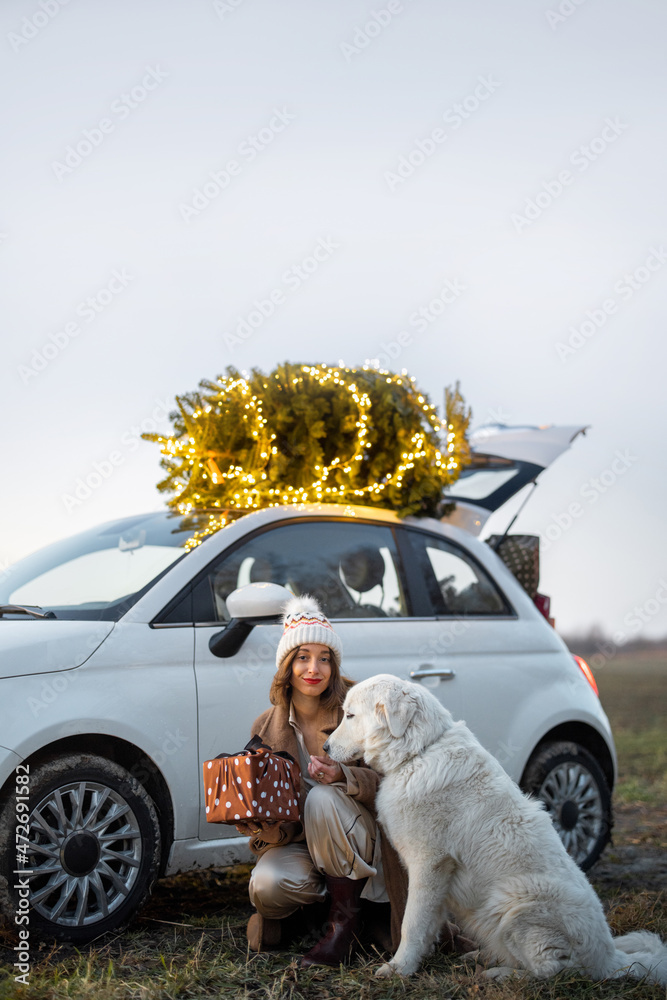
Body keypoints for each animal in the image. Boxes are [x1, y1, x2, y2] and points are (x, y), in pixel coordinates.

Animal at [324, 672, 667, 984]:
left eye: (350, 716)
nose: (325, 747)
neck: (419, 752)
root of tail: (609, 958)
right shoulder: (433, 875)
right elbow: (428, 922)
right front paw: (422, 956)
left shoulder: (430, 864)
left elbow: (413, 922)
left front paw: (400, 968)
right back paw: (485, 957)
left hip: (514, 902)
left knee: (557, 970)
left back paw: (501, 974)